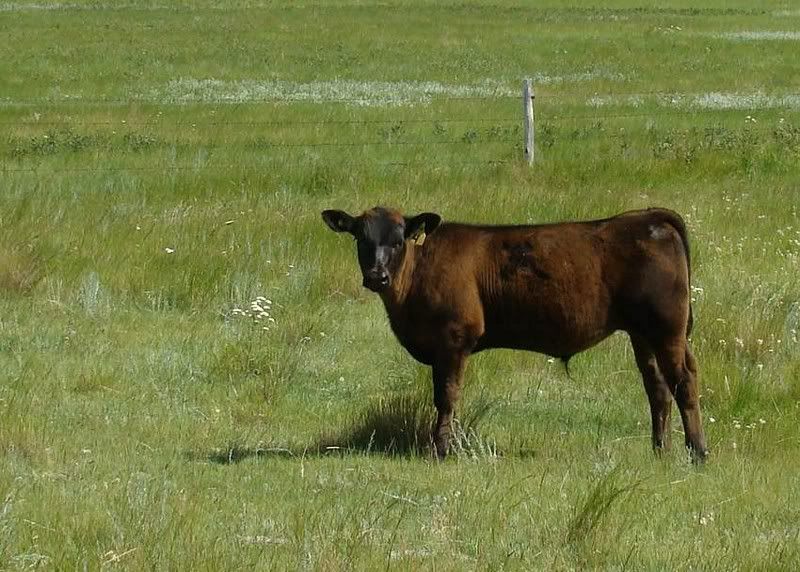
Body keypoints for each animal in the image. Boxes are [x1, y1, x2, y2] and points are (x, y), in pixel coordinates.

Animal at [321, 206, 708, 462]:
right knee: (657, 387)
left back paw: (698, 452)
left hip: (667, 329)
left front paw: (441, 450)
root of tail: (647, 216)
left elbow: (446, 396)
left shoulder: (454, 338)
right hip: (643, 333)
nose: (377, 276)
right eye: (360, 239)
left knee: (684, 381)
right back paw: (659, 451)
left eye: (399, 240)